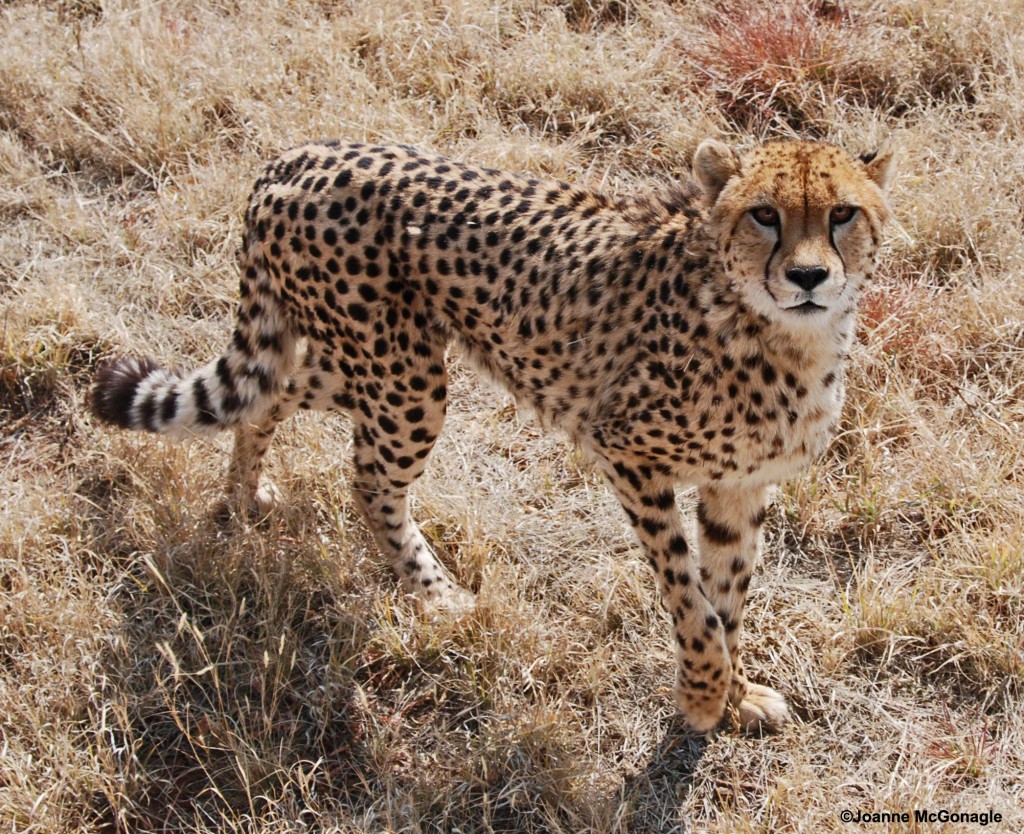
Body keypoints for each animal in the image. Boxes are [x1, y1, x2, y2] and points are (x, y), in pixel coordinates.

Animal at [90, 140, 897, 733]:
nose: (808, 276)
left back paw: (243, 494)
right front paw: (702, 697)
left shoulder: (739, 485)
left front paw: (734, 693)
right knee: (367, 478)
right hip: (405, 380)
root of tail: (297, 154)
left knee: (267, 395)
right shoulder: (628, 452)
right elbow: (690, 597)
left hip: (361, 362)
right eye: (763, 214)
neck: (783, 334)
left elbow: (728, 596)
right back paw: (437, 594)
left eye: (843, 213)